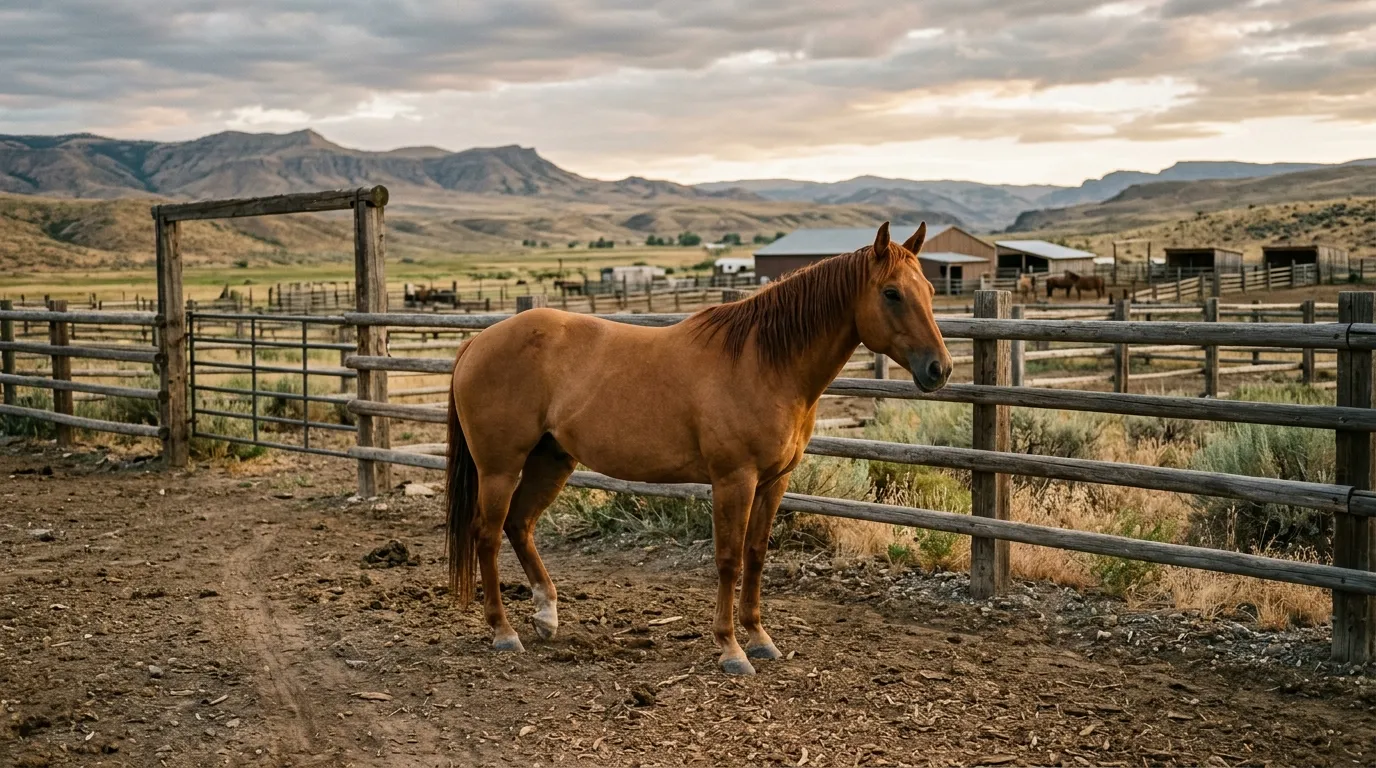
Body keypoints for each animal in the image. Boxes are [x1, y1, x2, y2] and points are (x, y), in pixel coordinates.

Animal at [445, 222, 951, 675]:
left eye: (930, 289)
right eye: (892, 293)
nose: (939, 369)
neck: (763, 363)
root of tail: (477, 342)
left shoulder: (774, 481)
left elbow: (756, 555)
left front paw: (760, 638)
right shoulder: (734, 480)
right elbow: (728, 559)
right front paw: (731, 649)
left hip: (551, 460)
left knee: (519, 524)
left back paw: (546, 616)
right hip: (500, 467)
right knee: (487, 535)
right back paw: (504, 632)